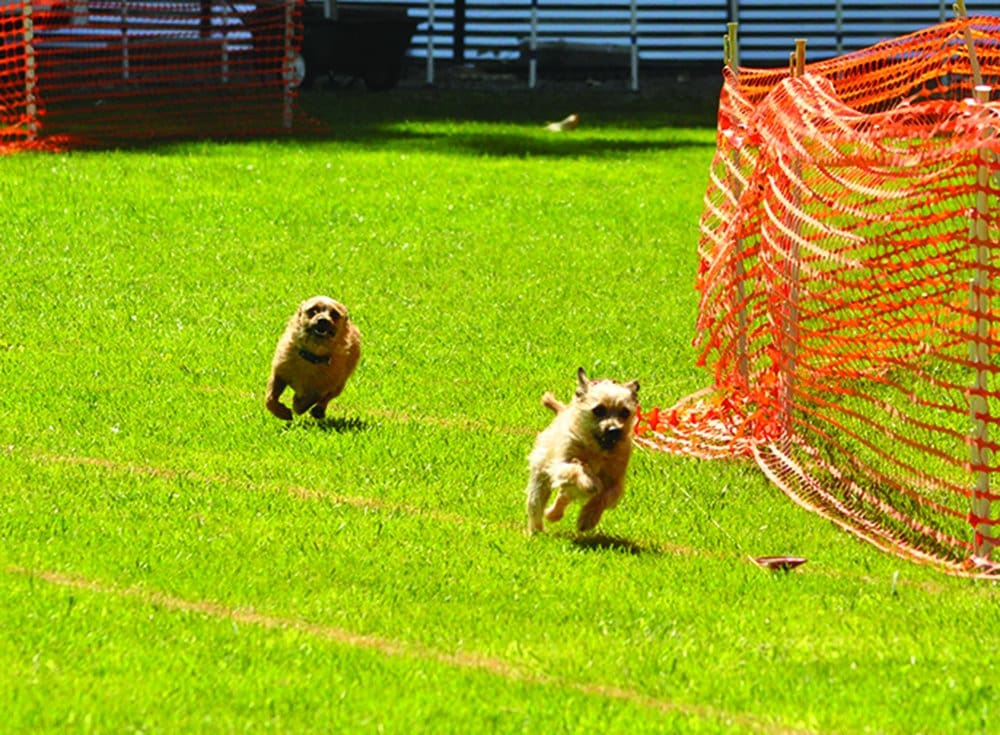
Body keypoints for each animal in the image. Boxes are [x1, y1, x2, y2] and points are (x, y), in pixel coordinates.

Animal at [528, 368, 636, 536]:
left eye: (625, 412)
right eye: (598, 410)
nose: (614, 430)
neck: (598, 450)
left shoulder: (615, 482)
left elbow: (605, 495)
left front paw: (588, 518)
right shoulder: (559, 465)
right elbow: (576, 468)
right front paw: (589, 481)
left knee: (563, 497)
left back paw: (553, 514)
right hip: (540, 479)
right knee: (536, 506)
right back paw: (536, 531)